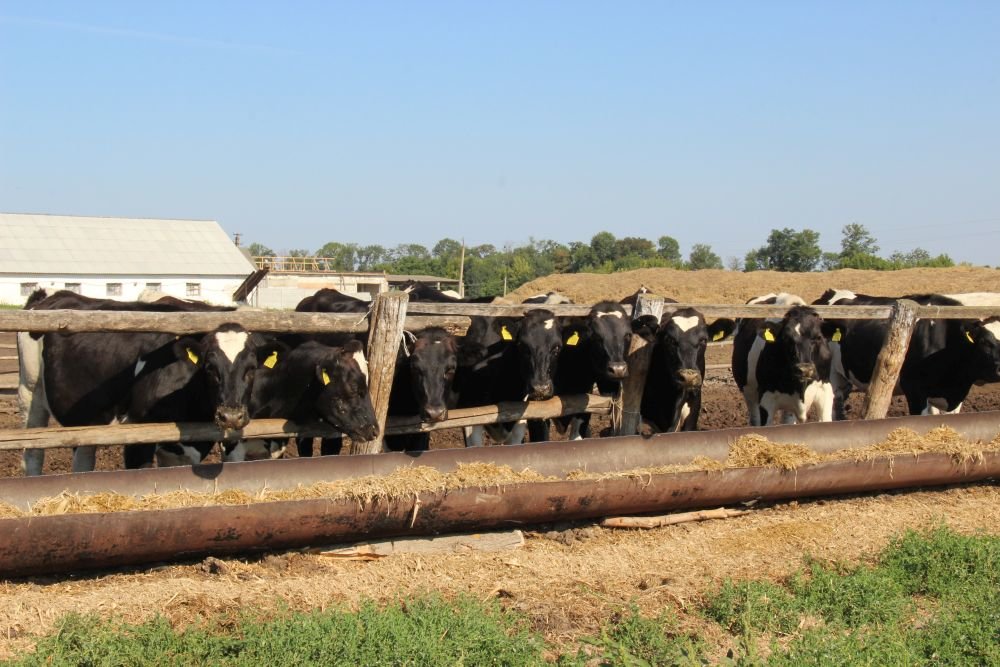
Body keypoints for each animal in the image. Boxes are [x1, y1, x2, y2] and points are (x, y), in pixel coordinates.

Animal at [732, 294, 834, 426]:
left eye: (818, 337)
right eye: (786, 338)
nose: (805, 369)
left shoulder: (825, 391)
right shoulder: (766, 399)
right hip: (749, 393)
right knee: (755, 418)